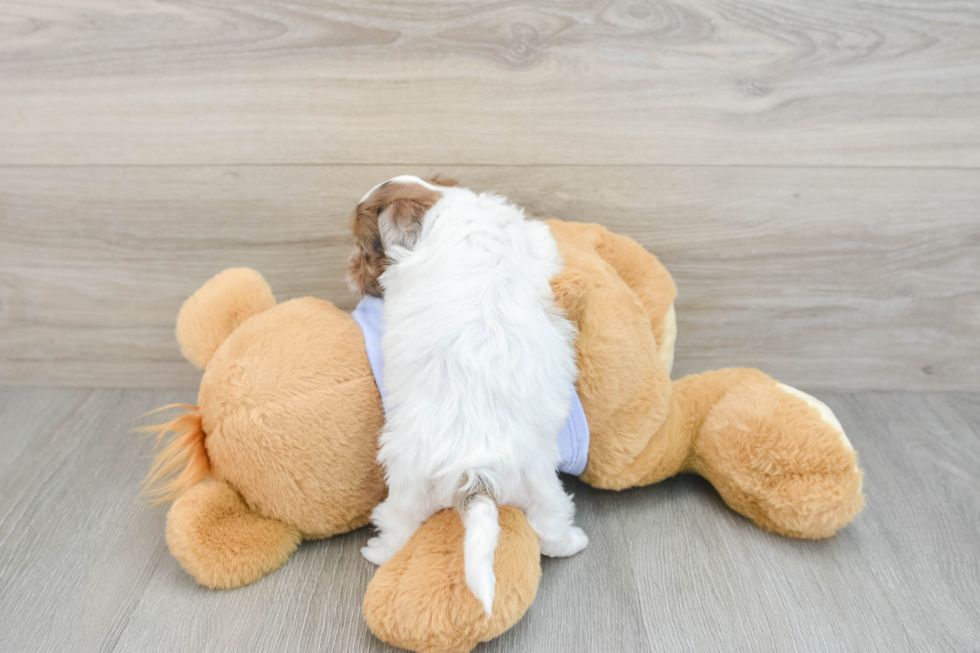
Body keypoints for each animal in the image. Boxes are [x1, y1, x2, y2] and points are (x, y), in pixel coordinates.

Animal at [348, 176, 584, 612]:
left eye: (364, 249)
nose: (351, 274)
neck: (437, 203)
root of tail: (475, 470)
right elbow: (543, 239)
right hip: (532, 479)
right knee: (549, 527)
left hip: (430, 484)